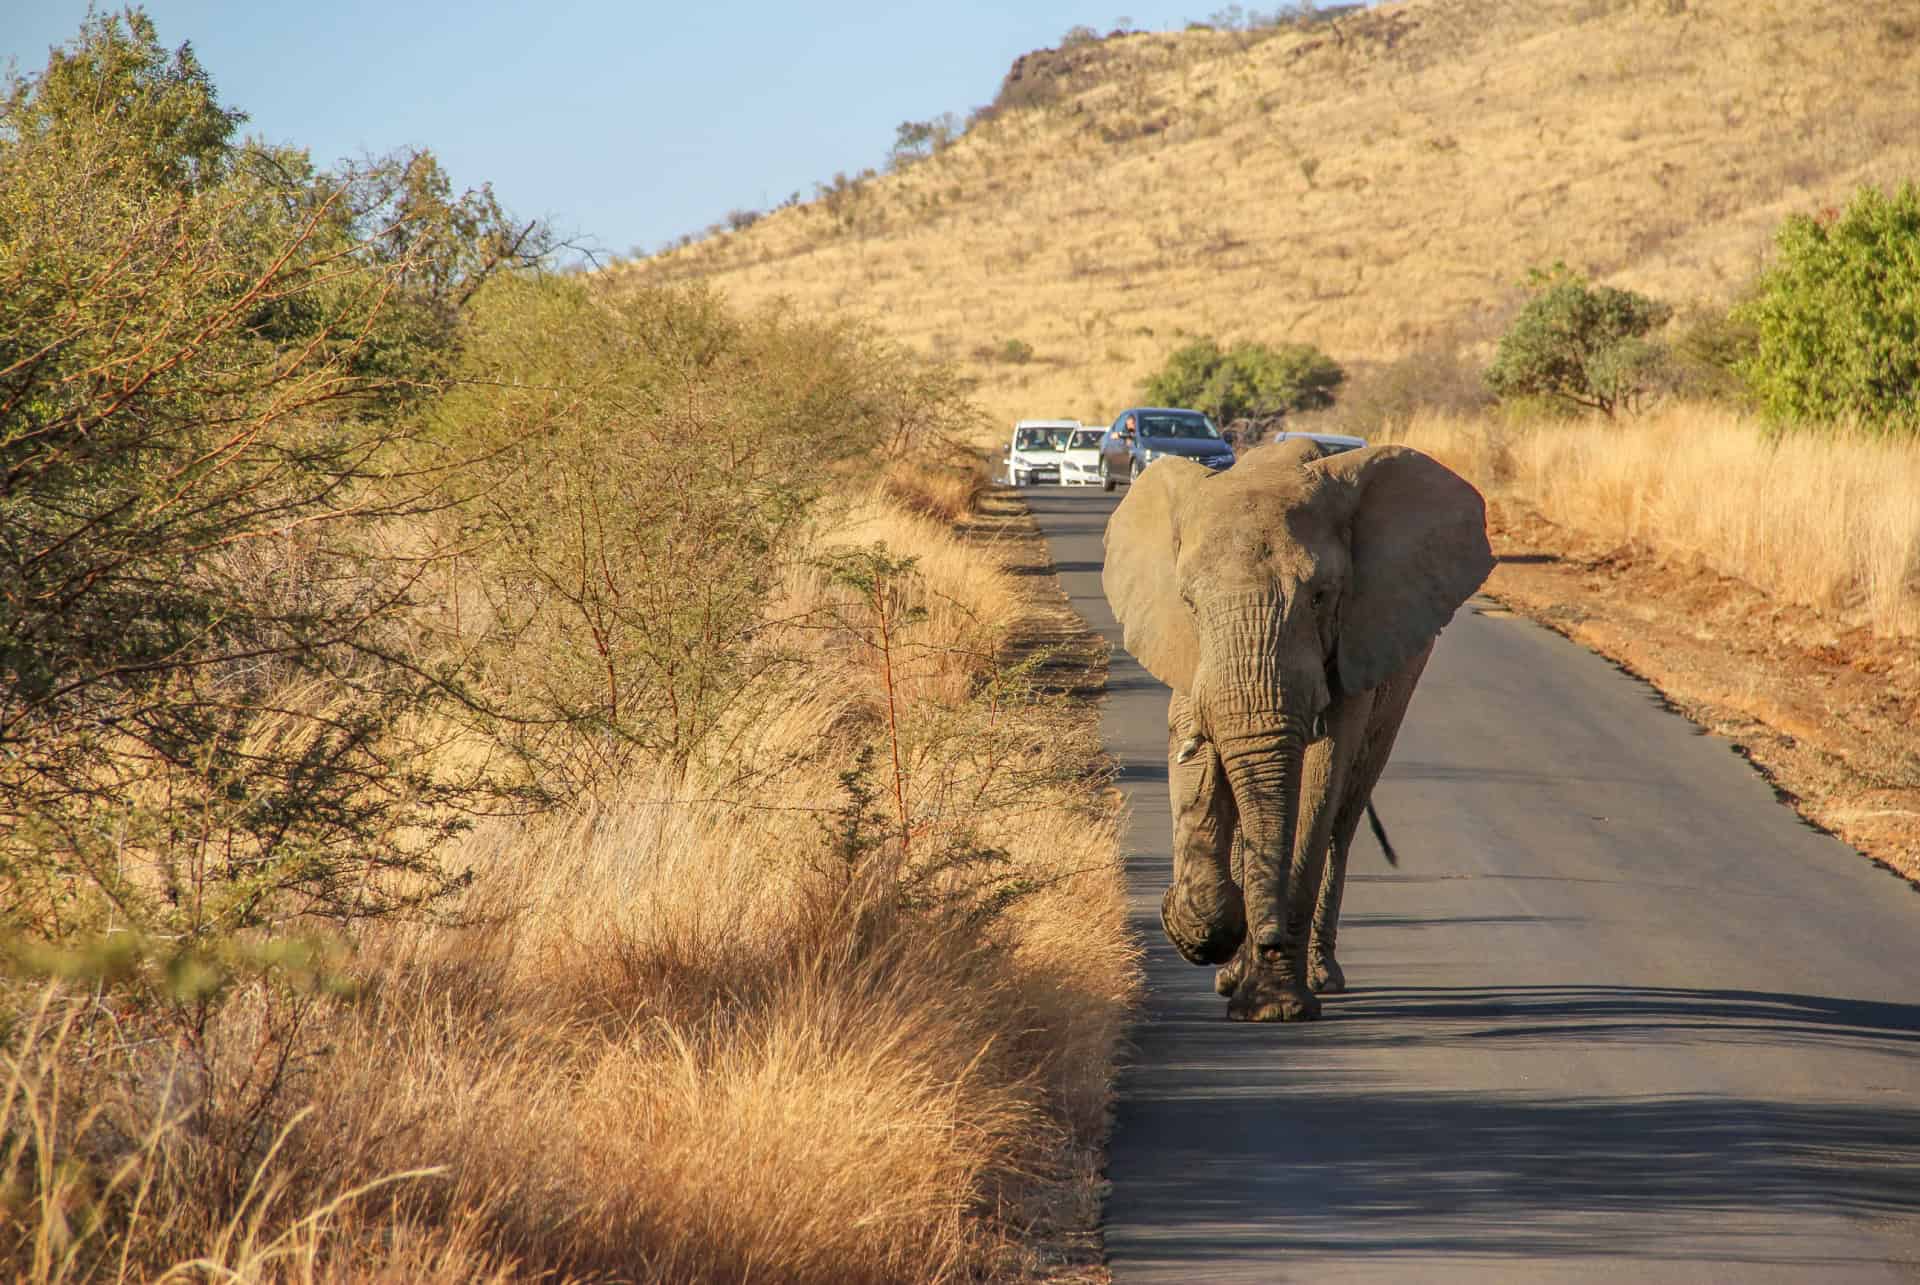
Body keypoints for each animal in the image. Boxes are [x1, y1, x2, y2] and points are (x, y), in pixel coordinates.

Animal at [1105, 436, 1489, 1014]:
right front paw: (1199, 929)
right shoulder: (1186, 650)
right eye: (1190, 603)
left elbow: (1318, 779)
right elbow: (1197, 762)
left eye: (1320, 597)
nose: (1267, 937)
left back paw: (1319, 976)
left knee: (1343, 815)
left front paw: (1274, 1007)